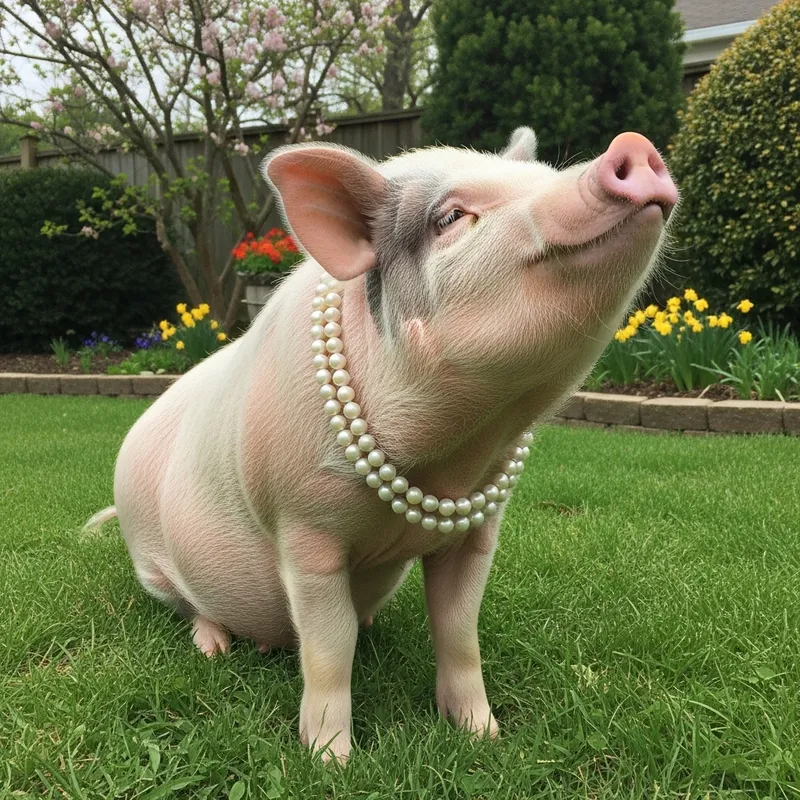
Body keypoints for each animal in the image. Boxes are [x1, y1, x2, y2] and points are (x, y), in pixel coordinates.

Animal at [86, 127, 677, 763]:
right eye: (450, 217)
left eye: (543, 173)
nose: (632, 144)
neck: (443, 466)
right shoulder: (305, 528)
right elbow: (330, 646)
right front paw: (331, 762)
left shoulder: (477, 531)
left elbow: (459, 631)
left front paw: (485, 737)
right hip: (150, 563)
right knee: (192, 607)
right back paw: (213, 648)